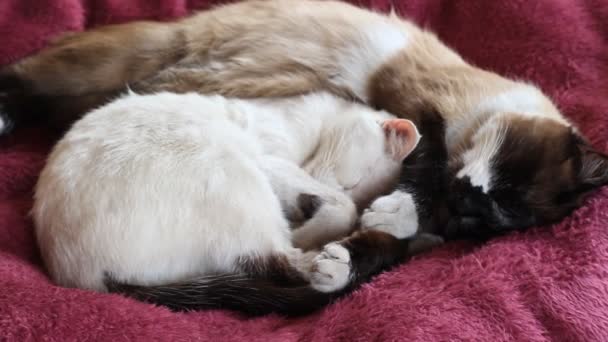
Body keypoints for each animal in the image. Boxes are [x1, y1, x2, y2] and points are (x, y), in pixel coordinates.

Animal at [3, 0, 608, 239]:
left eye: (499, 213)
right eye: (505, 186)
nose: (469, 201)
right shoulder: (420, 108)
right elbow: (423, 159)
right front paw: (400, 207)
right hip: (132, 58)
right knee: (25, 73)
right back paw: (7, 114)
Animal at [32, 91, 442, 316]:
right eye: (350, 181)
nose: (305, 206)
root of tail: (79, 278)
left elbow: (341, 208)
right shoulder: (274, 162)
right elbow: (343, 206)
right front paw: (316, 224)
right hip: (233, 168)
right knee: (282, 262)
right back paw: (337, 261)